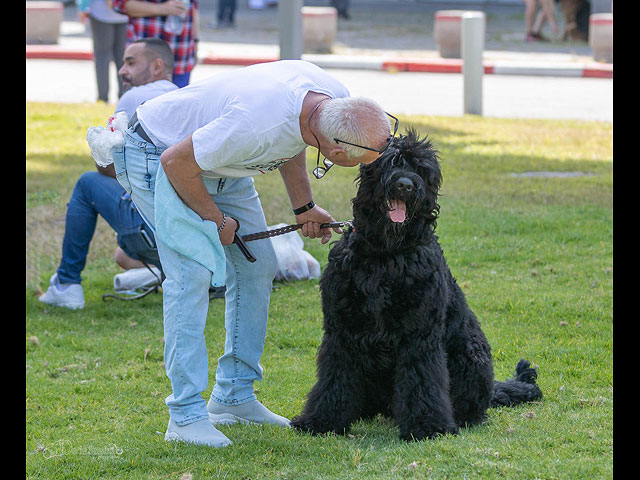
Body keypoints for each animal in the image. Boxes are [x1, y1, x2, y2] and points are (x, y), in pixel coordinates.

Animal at [292, 129, 544, 440]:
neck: (386, 255)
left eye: (422, 169)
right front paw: (320, 420)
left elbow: (422, 381)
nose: (405, 185)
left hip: (469, 354)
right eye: (391, 162)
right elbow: (334, 377)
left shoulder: (419, 333)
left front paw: (428, 426)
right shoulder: (341, 329)